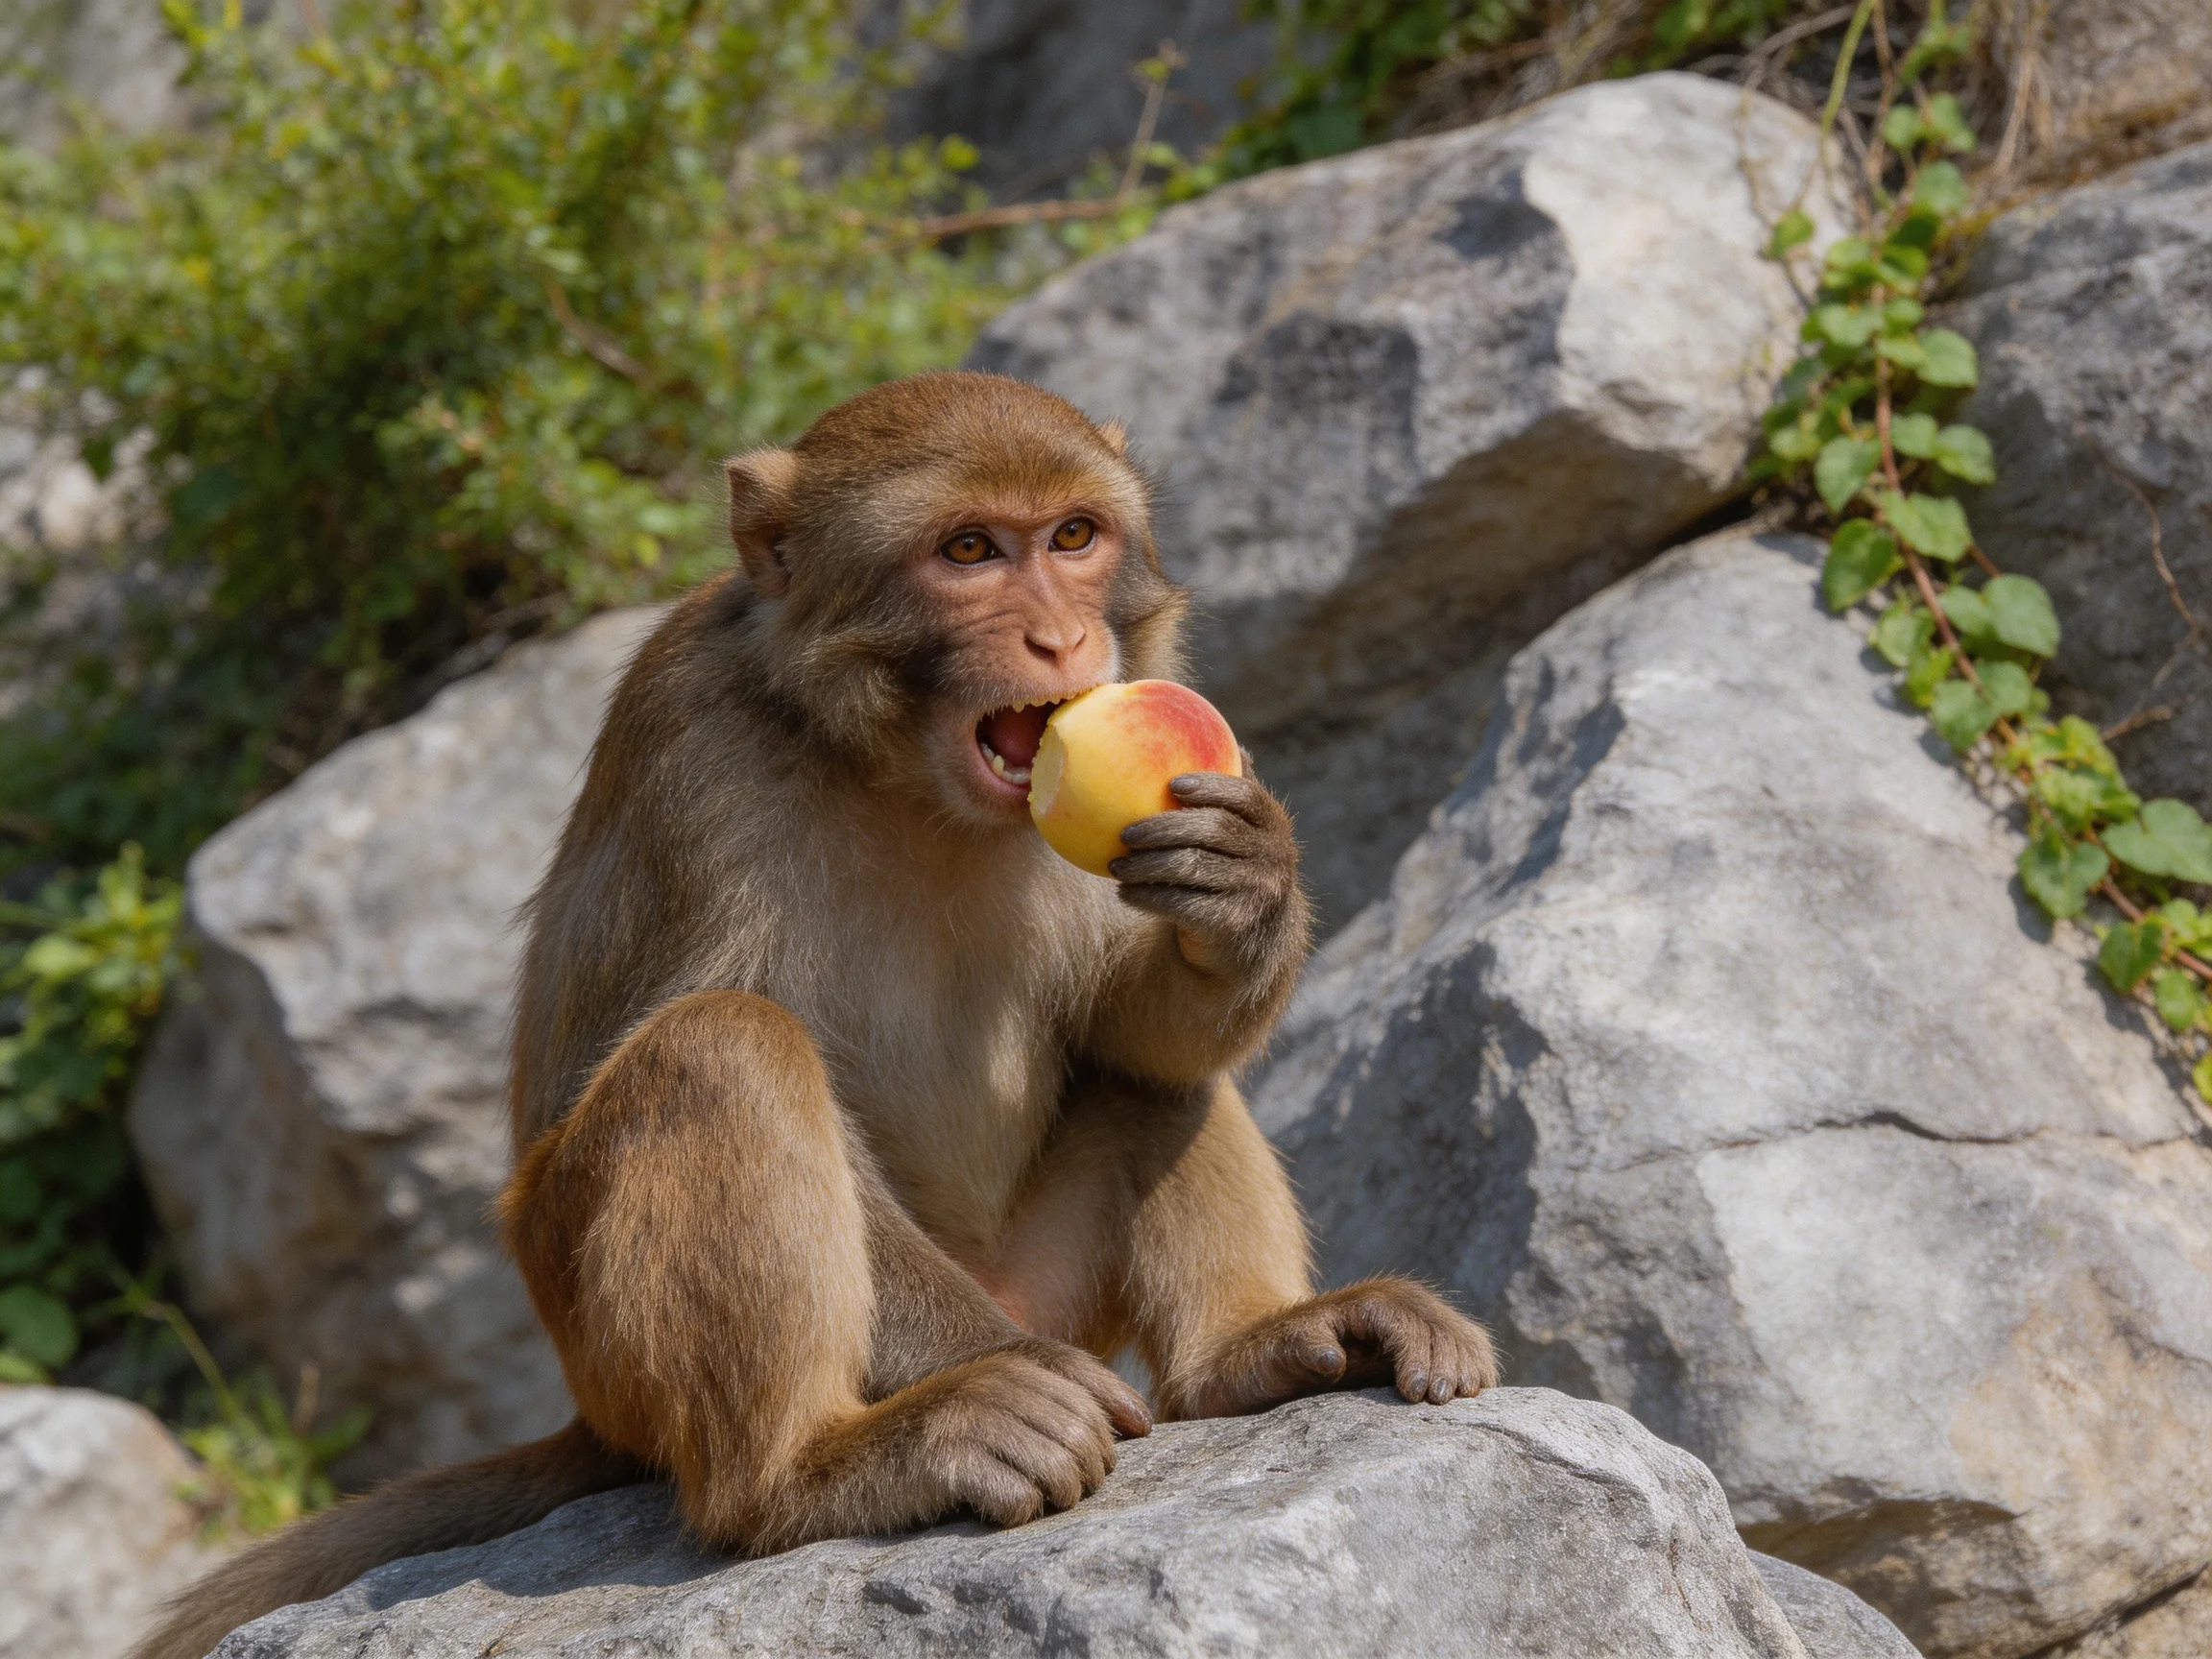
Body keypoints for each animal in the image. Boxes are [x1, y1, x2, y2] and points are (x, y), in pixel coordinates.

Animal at [137, 371, 1496, 1659]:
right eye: (968, 552)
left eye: (1072, 536)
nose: (1062, 639)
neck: (904, 778)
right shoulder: (693, 746)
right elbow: (708, 1044)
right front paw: (1003, 1392)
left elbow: (1138, 1031)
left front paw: (1244, 890)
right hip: (616, 1343)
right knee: (722, 1048)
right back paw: (826, 1466)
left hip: (1047, 1277)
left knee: (1152, 1080)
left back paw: (1249, 1356)